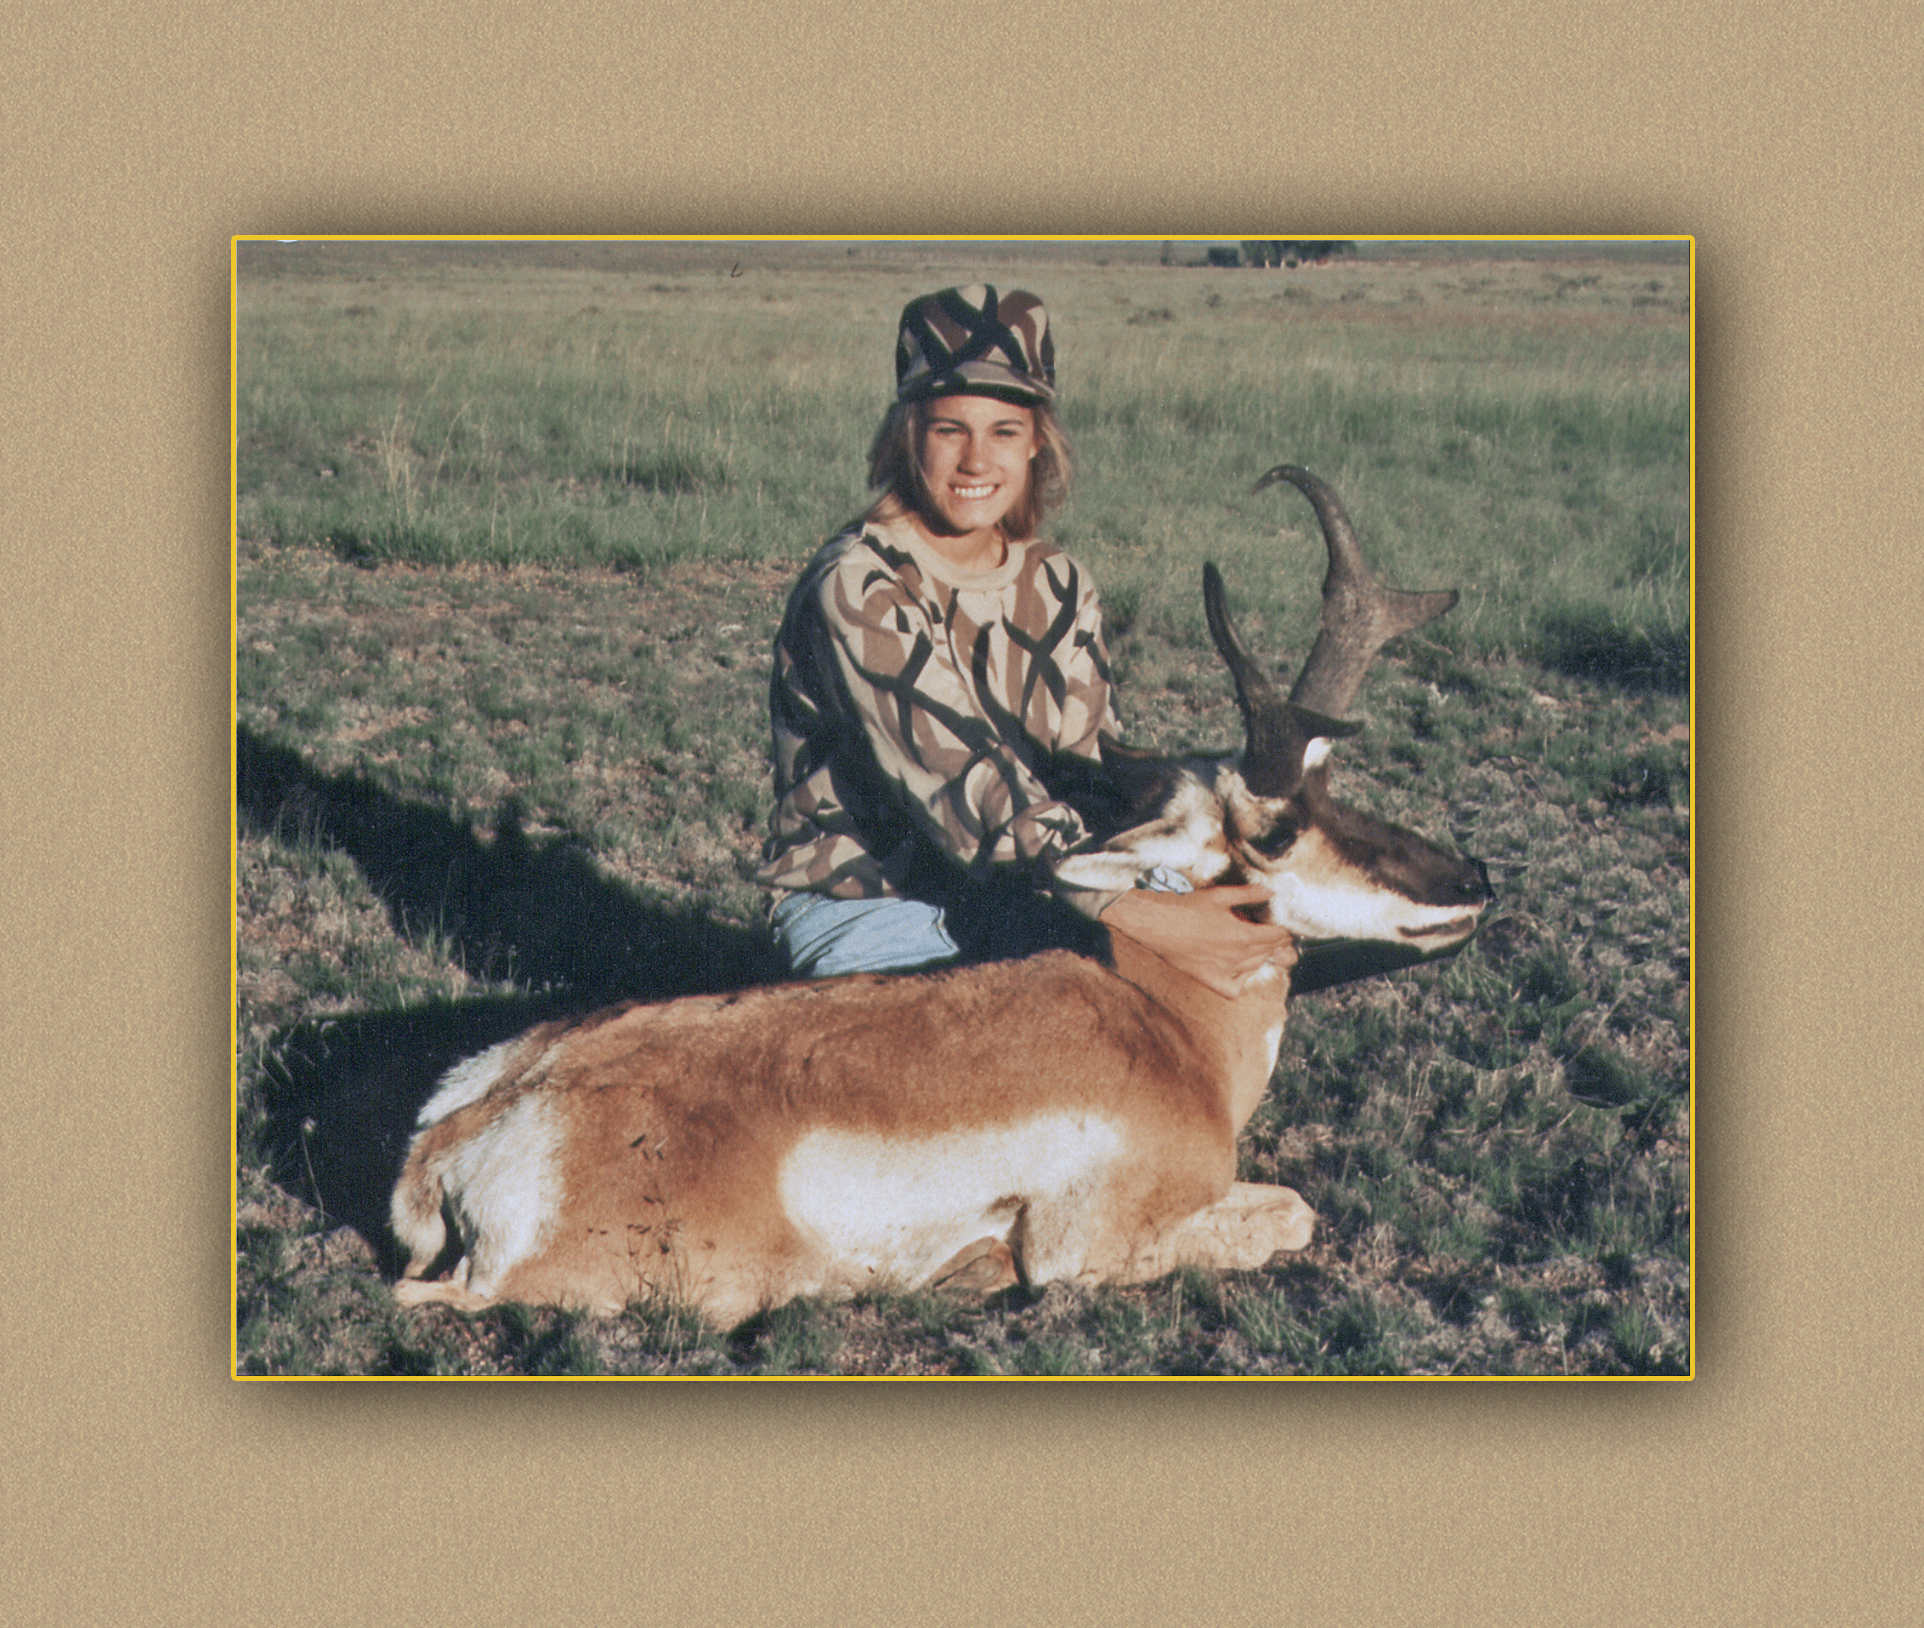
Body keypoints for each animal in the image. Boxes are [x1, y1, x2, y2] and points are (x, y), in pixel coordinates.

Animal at [387, 466, 1493, 1332]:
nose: (1473, 880)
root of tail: (468, 1128)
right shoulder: (1093, 1239)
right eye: (1277, 829)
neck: (1163, 1022)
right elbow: (1294, 1210)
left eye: (1339, 788)